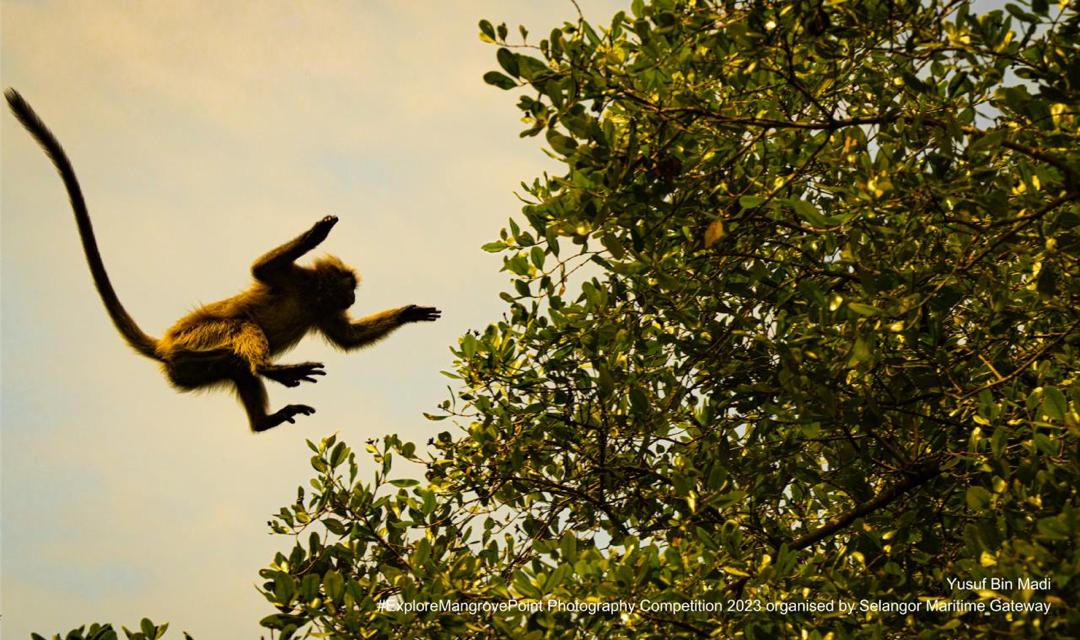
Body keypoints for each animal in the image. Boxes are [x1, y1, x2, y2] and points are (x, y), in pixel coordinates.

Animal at [5, 87, 438, 431]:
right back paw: (270, 369)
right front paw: (318, 233)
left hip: (193, 366)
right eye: (349, 289)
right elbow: (261, 268)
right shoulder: (294, 278)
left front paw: (410, 313)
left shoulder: (321, 308)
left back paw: (265, 420)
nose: (353, 298)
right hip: (194, 341)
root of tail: (164, 343)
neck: (311, 296)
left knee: (235, 364)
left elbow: (347, 339)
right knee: (239, 326)